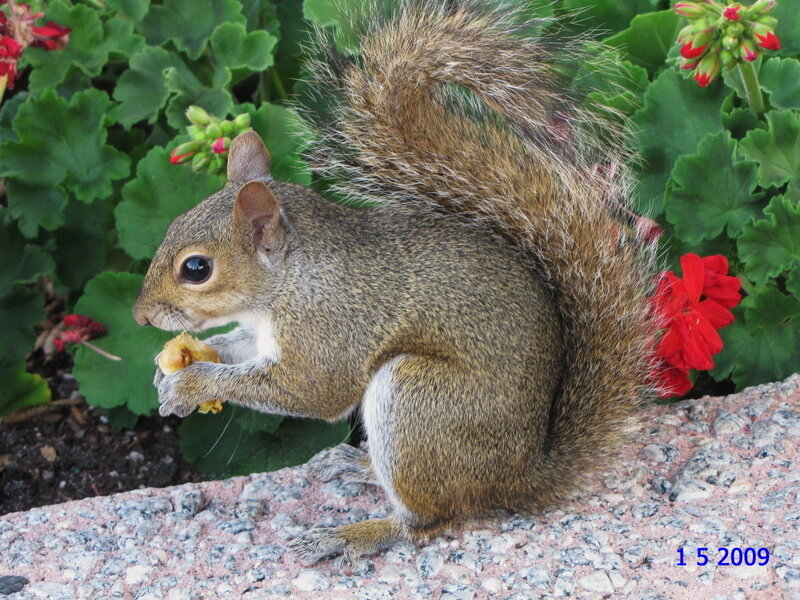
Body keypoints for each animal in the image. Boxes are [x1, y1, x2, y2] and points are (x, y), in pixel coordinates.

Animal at [133, 1, 657, 565]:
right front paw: (172, 370)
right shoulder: (263, 332)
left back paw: (352, 535)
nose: (141, 315)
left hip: (417, 404)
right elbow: (239, 348)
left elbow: (312, 391)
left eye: (196, 269)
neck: (289, 282)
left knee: (428, 520)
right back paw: (356, 466)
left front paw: (193, 383)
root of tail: (517, 479)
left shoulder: (329, 328)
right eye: (171, 223)